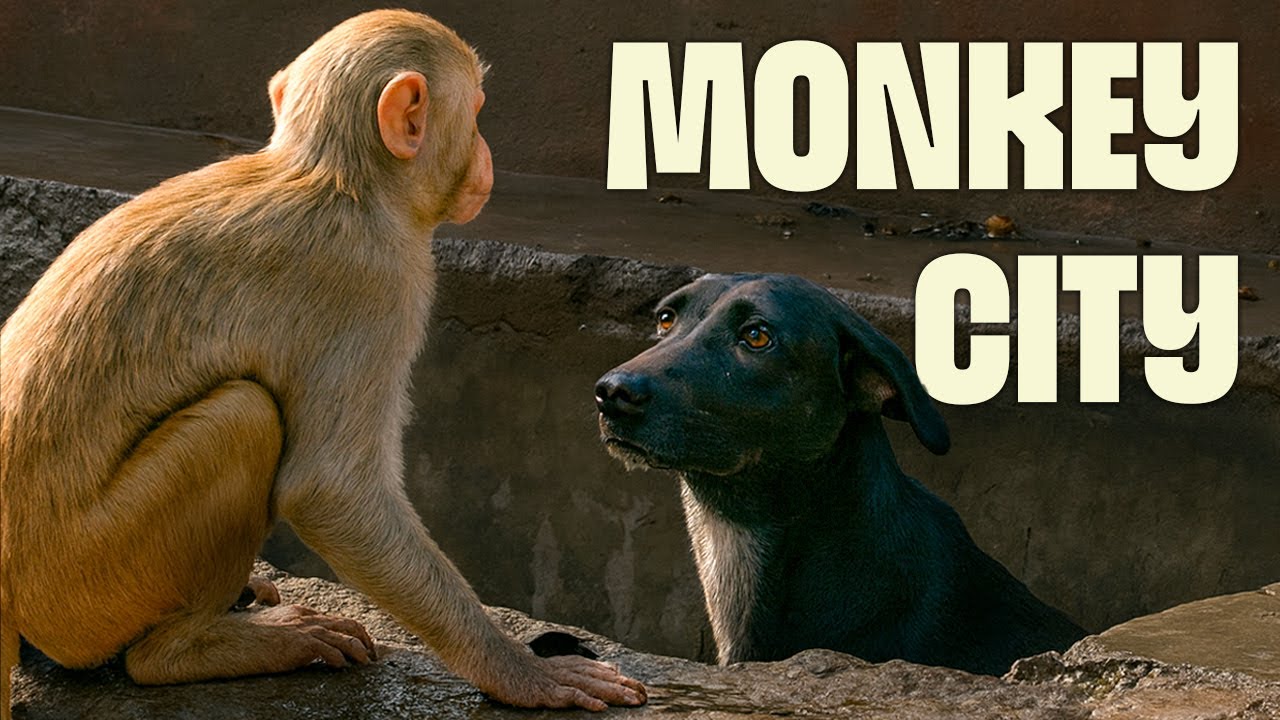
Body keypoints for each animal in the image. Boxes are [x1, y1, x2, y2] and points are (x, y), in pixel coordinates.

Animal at [0, 10, 645, 715]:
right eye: (475, 112)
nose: (486, 154)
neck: (336, 177)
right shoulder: (382, 281)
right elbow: (329, 488)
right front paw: (521, 671)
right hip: (88, 589)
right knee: (244, 416)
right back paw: (187, 650)